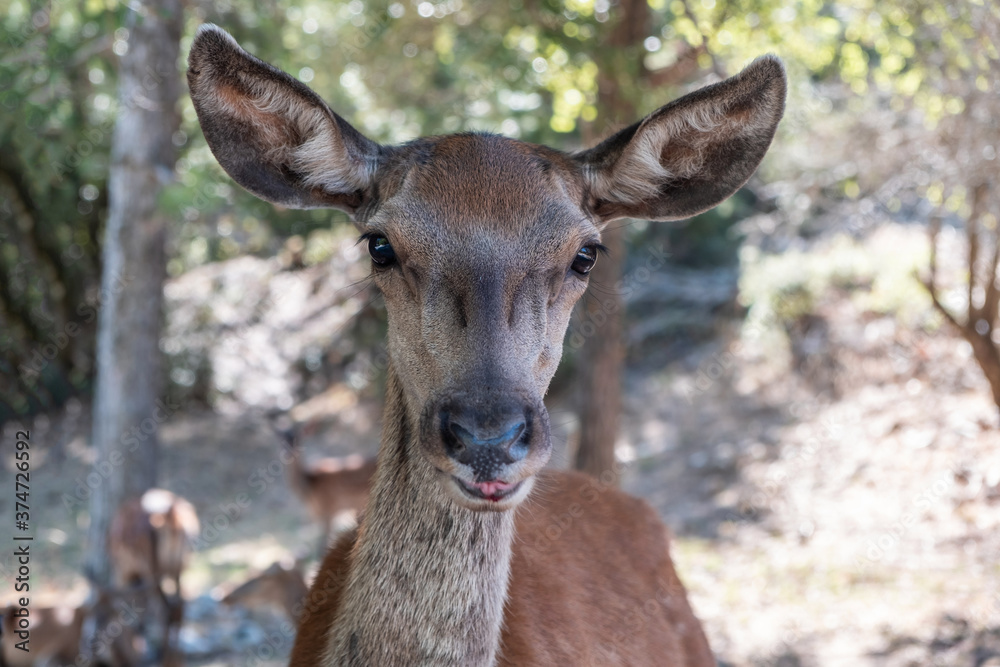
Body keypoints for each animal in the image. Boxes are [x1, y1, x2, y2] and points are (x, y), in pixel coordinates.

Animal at [108, 488, 200, 664]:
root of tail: (171, 515)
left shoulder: (124, 571)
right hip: (180, 563)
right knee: (179, 605)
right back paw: (174, 652)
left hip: (152, 568)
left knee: (163, 608)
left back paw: (161, 653)